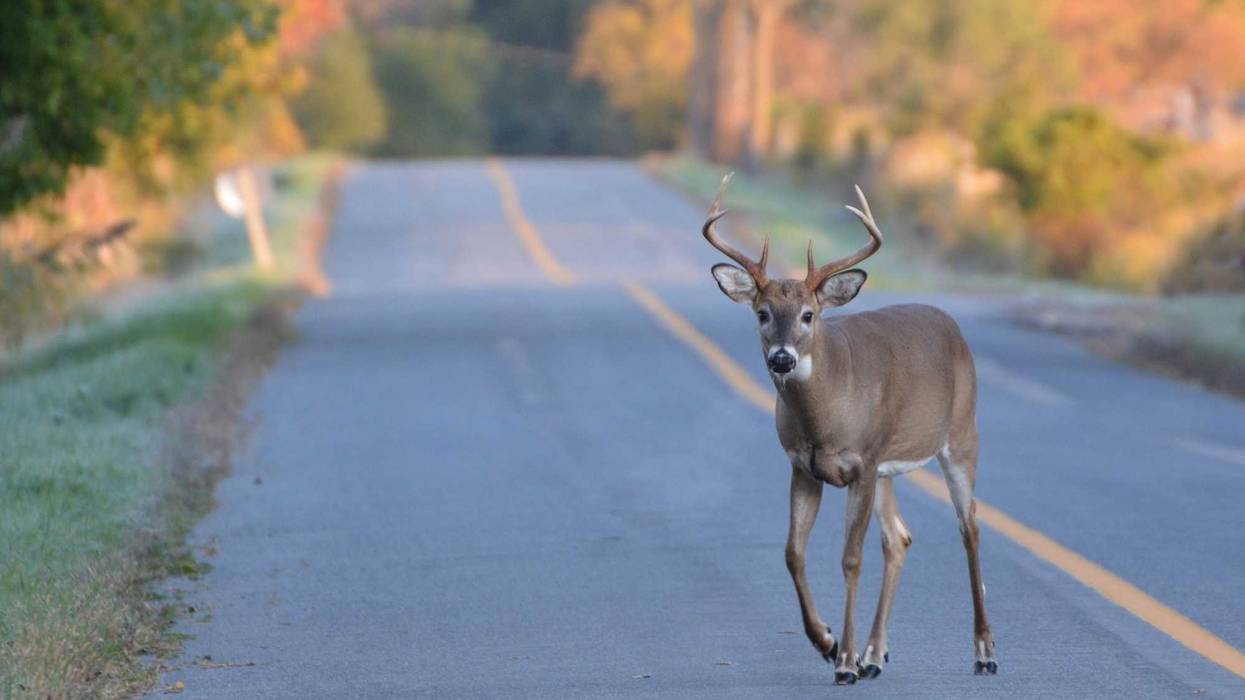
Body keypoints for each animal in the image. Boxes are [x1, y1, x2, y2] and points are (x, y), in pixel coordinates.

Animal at [702, 174, 997, 684]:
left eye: (809, 314)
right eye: (762, 313)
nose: (782, 358)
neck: (824, 418)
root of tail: (951, 324)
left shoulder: (861, 461)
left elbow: (851, 558)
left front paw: (844, 661)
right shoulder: (805, 467)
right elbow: (793, 553)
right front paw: (828, 643)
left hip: (961, 437)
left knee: (970, 527)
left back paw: (983, 652)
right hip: (888, 469)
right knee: (899, 538)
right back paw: (877, 655)